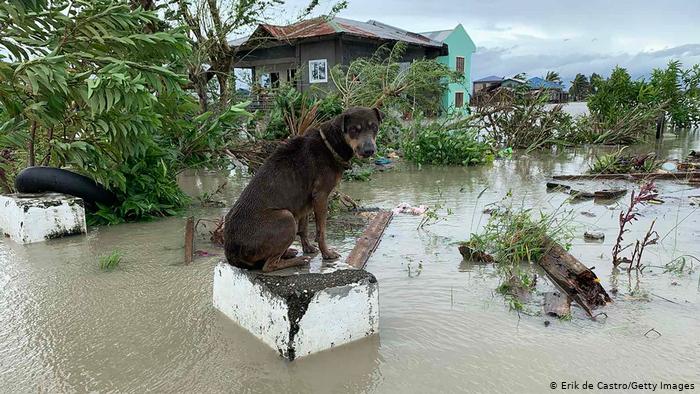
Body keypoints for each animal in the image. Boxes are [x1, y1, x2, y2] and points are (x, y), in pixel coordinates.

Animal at [224, 105, 382, 270]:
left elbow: (304, 228)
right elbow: (321, 231)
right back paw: (298, 260)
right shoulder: (321, 196)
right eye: (354, 130)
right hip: (286, 217)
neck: (329, 144)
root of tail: (232, 254)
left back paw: (289, 253)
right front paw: (326, 253)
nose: (369, 150)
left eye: (374, 127)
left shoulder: (306, 202)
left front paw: (308, 248)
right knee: (269, 265)